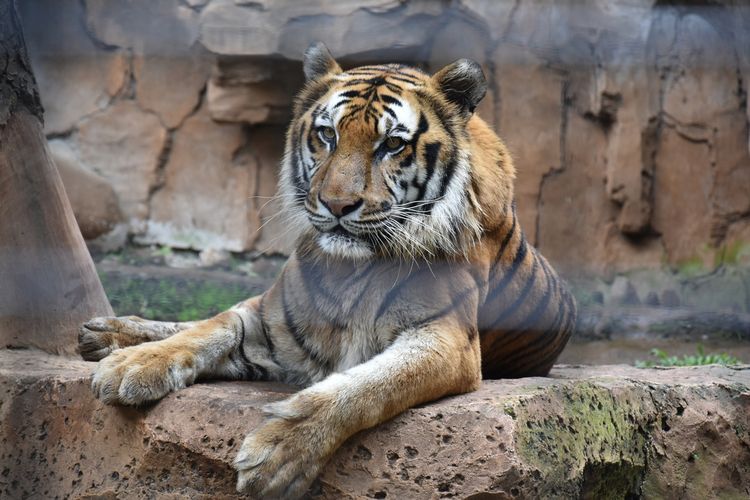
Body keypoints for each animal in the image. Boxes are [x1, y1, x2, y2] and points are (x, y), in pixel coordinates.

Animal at [79, 42, 576, 496]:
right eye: (327, 135)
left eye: (392, 144)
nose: (337, 205)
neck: (349, 268)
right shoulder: (271, 321)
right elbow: (210, 328)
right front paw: (133, 365)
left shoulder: (445, 340)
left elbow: (364, 388)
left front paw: (278, 453)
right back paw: (105, 335)